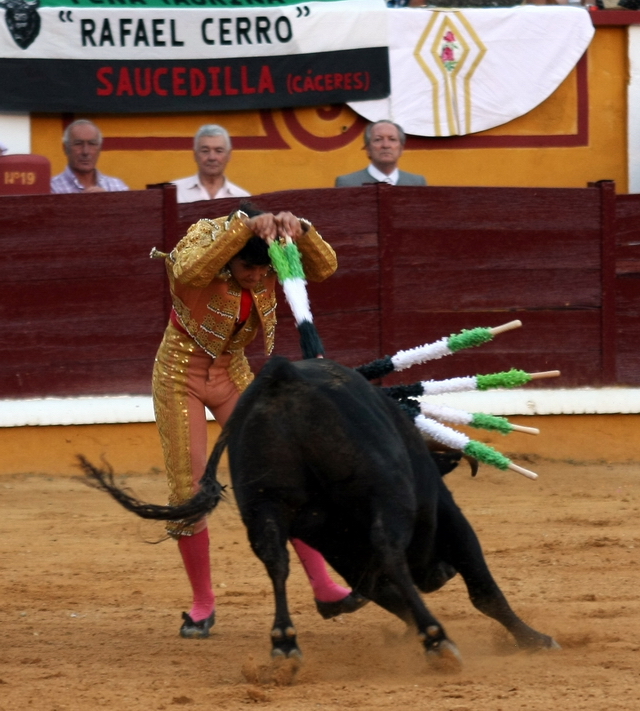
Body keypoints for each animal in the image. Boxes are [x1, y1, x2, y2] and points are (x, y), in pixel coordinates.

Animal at [81, 358, 560, 672]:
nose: (438, 575)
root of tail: (283, 376)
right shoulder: (446, 517)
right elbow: (482, 590)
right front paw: (535, 640)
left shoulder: (341, 549)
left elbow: (383, 591)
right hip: (384, 499)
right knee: (391, 554)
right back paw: (437, 641)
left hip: (265, 505)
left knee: (277, 562)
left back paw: (285, 645)